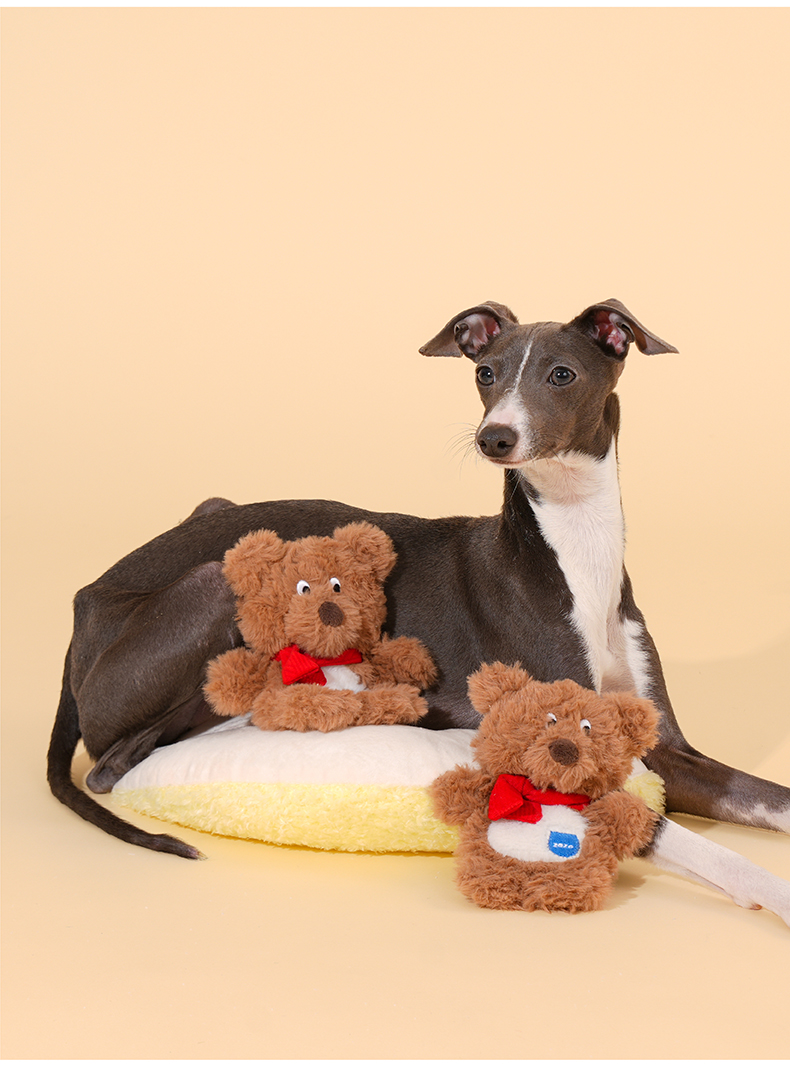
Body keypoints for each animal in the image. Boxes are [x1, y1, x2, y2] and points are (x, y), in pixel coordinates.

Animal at [48, 297, 790, 923]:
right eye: (486, 373)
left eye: (562, 374)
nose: (495, 437)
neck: (577, 553)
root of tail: (83, 608)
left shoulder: (664, 744)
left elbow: (766, 794)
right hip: (213, 583)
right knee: (117, 764)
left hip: (214, 508)